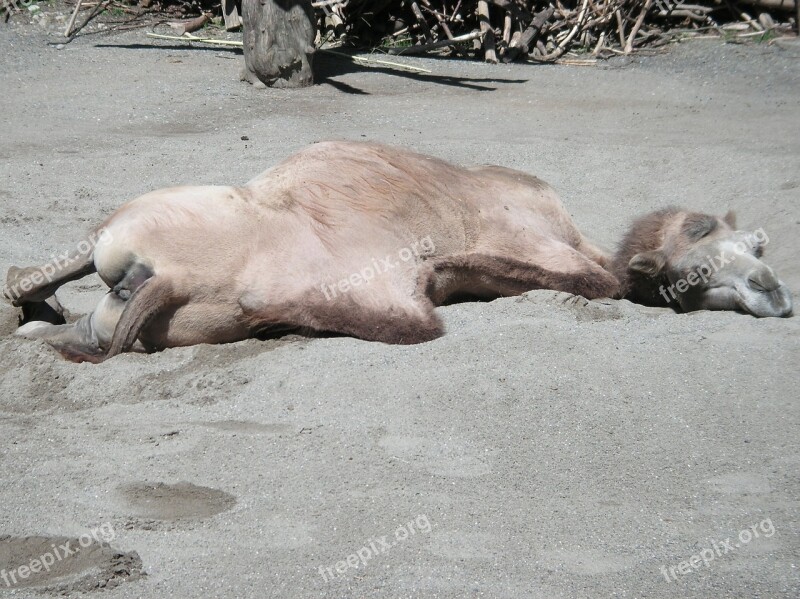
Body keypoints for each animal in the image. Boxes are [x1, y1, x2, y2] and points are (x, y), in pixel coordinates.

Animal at [4, 142, 792, 364]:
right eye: (705, 258)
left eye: (758, 246)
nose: (775, 291)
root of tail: (163, 280)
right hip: (124, 227)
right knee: (45, 268)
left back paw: (44, 321)